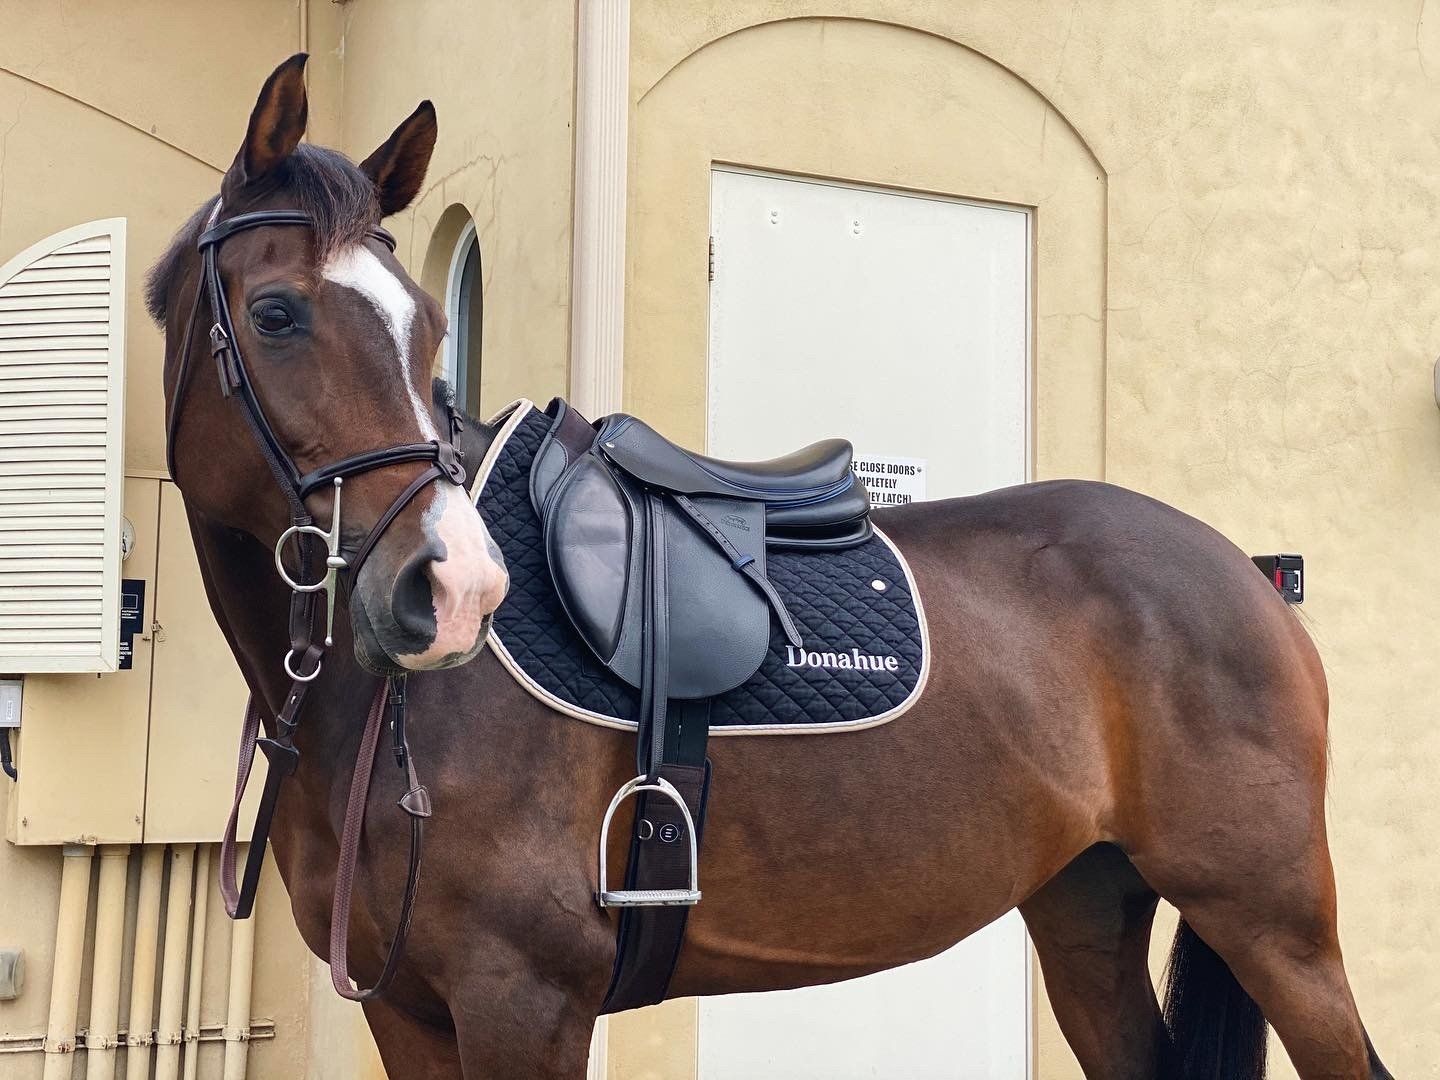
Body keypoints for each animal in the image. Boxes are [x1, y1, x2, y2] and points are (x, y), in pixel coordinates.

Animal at [149, 54, 1393, 1079]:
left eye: (426, 327)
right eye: (276, 312)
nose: (454, 589)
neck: (390, 714)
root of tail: (1245, 575)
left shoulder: (522, 1002)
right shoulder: (406, 1011)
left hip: (1271, 918)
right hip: (1088, 906)